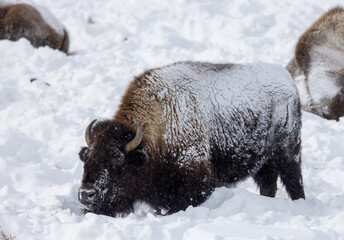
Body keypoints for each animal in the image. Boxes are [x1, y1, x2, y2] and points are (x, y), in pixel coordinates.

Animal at [78, 61, 306, 217]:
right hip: (264, 163)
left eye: (118, 160)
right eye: (86, 157)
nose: (86, 194)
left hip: (288, 153)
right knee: (269, 184)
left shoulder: (197, 181)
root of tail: (288, 80)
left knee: (294, 182)